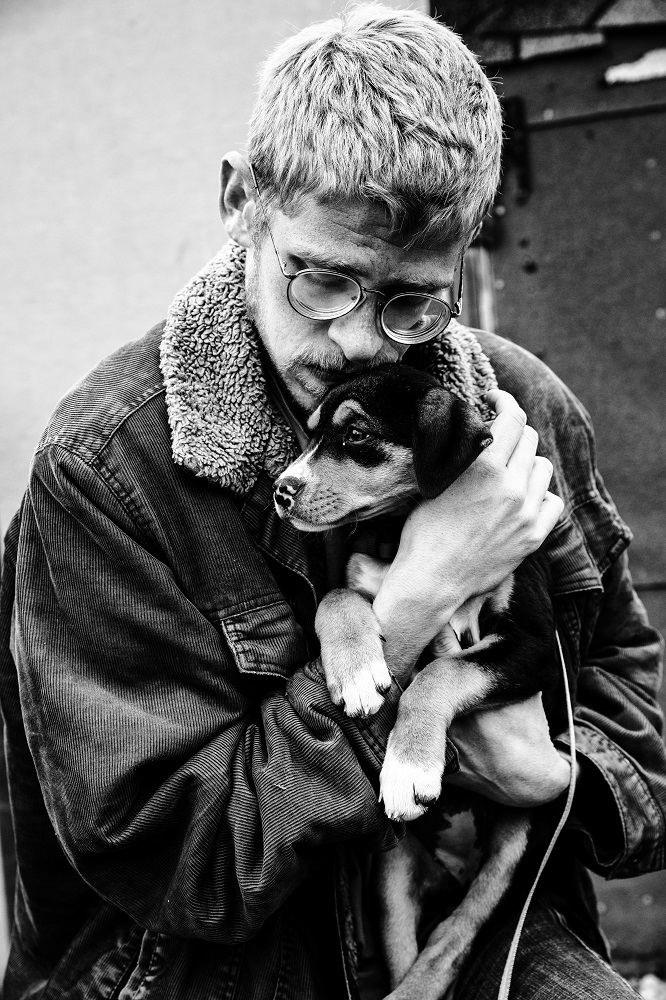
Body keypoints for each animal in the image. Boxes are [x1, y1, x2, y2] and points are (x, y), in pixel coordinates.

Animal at [272, 362, 556, 992]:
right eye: (310, 434)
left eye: (355, 434)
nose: (282, 489)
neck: (395, 533)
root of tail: (451, 870)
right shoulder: (359, 577)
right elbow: (335, 599)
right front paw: (356, 673)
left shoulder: (533, 647)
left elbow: (443, 672)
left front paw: (410, 763)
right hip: (392, 868)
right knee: (408, 944)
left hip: (518, 845)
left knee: (456, 933)